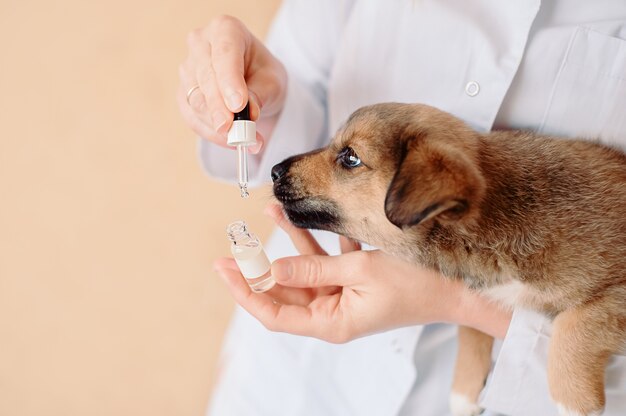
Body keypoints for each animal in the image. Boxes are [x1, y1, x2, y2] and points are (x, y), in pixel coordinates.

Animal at [270, 102, 624, 416]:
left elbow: (575, 324)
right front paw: (464, 390)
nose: (274, 170)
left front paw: (574, 400)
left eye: (351, 157)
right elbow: (469, 328)